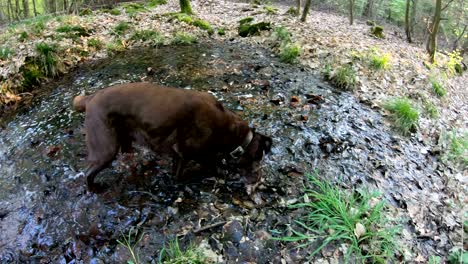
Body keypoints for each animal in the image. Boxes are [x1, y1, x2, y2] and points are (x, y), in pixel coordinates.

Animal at [72, 82, 272, 192]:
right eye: (258, 158)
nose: (259, 180)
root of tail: (90, 98)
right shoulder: (189, 151)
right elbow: (202, 167)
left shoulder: (179, 154)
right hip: (106, 149)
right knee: (88, 173)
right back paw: (94, 189)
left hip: (124, 141)